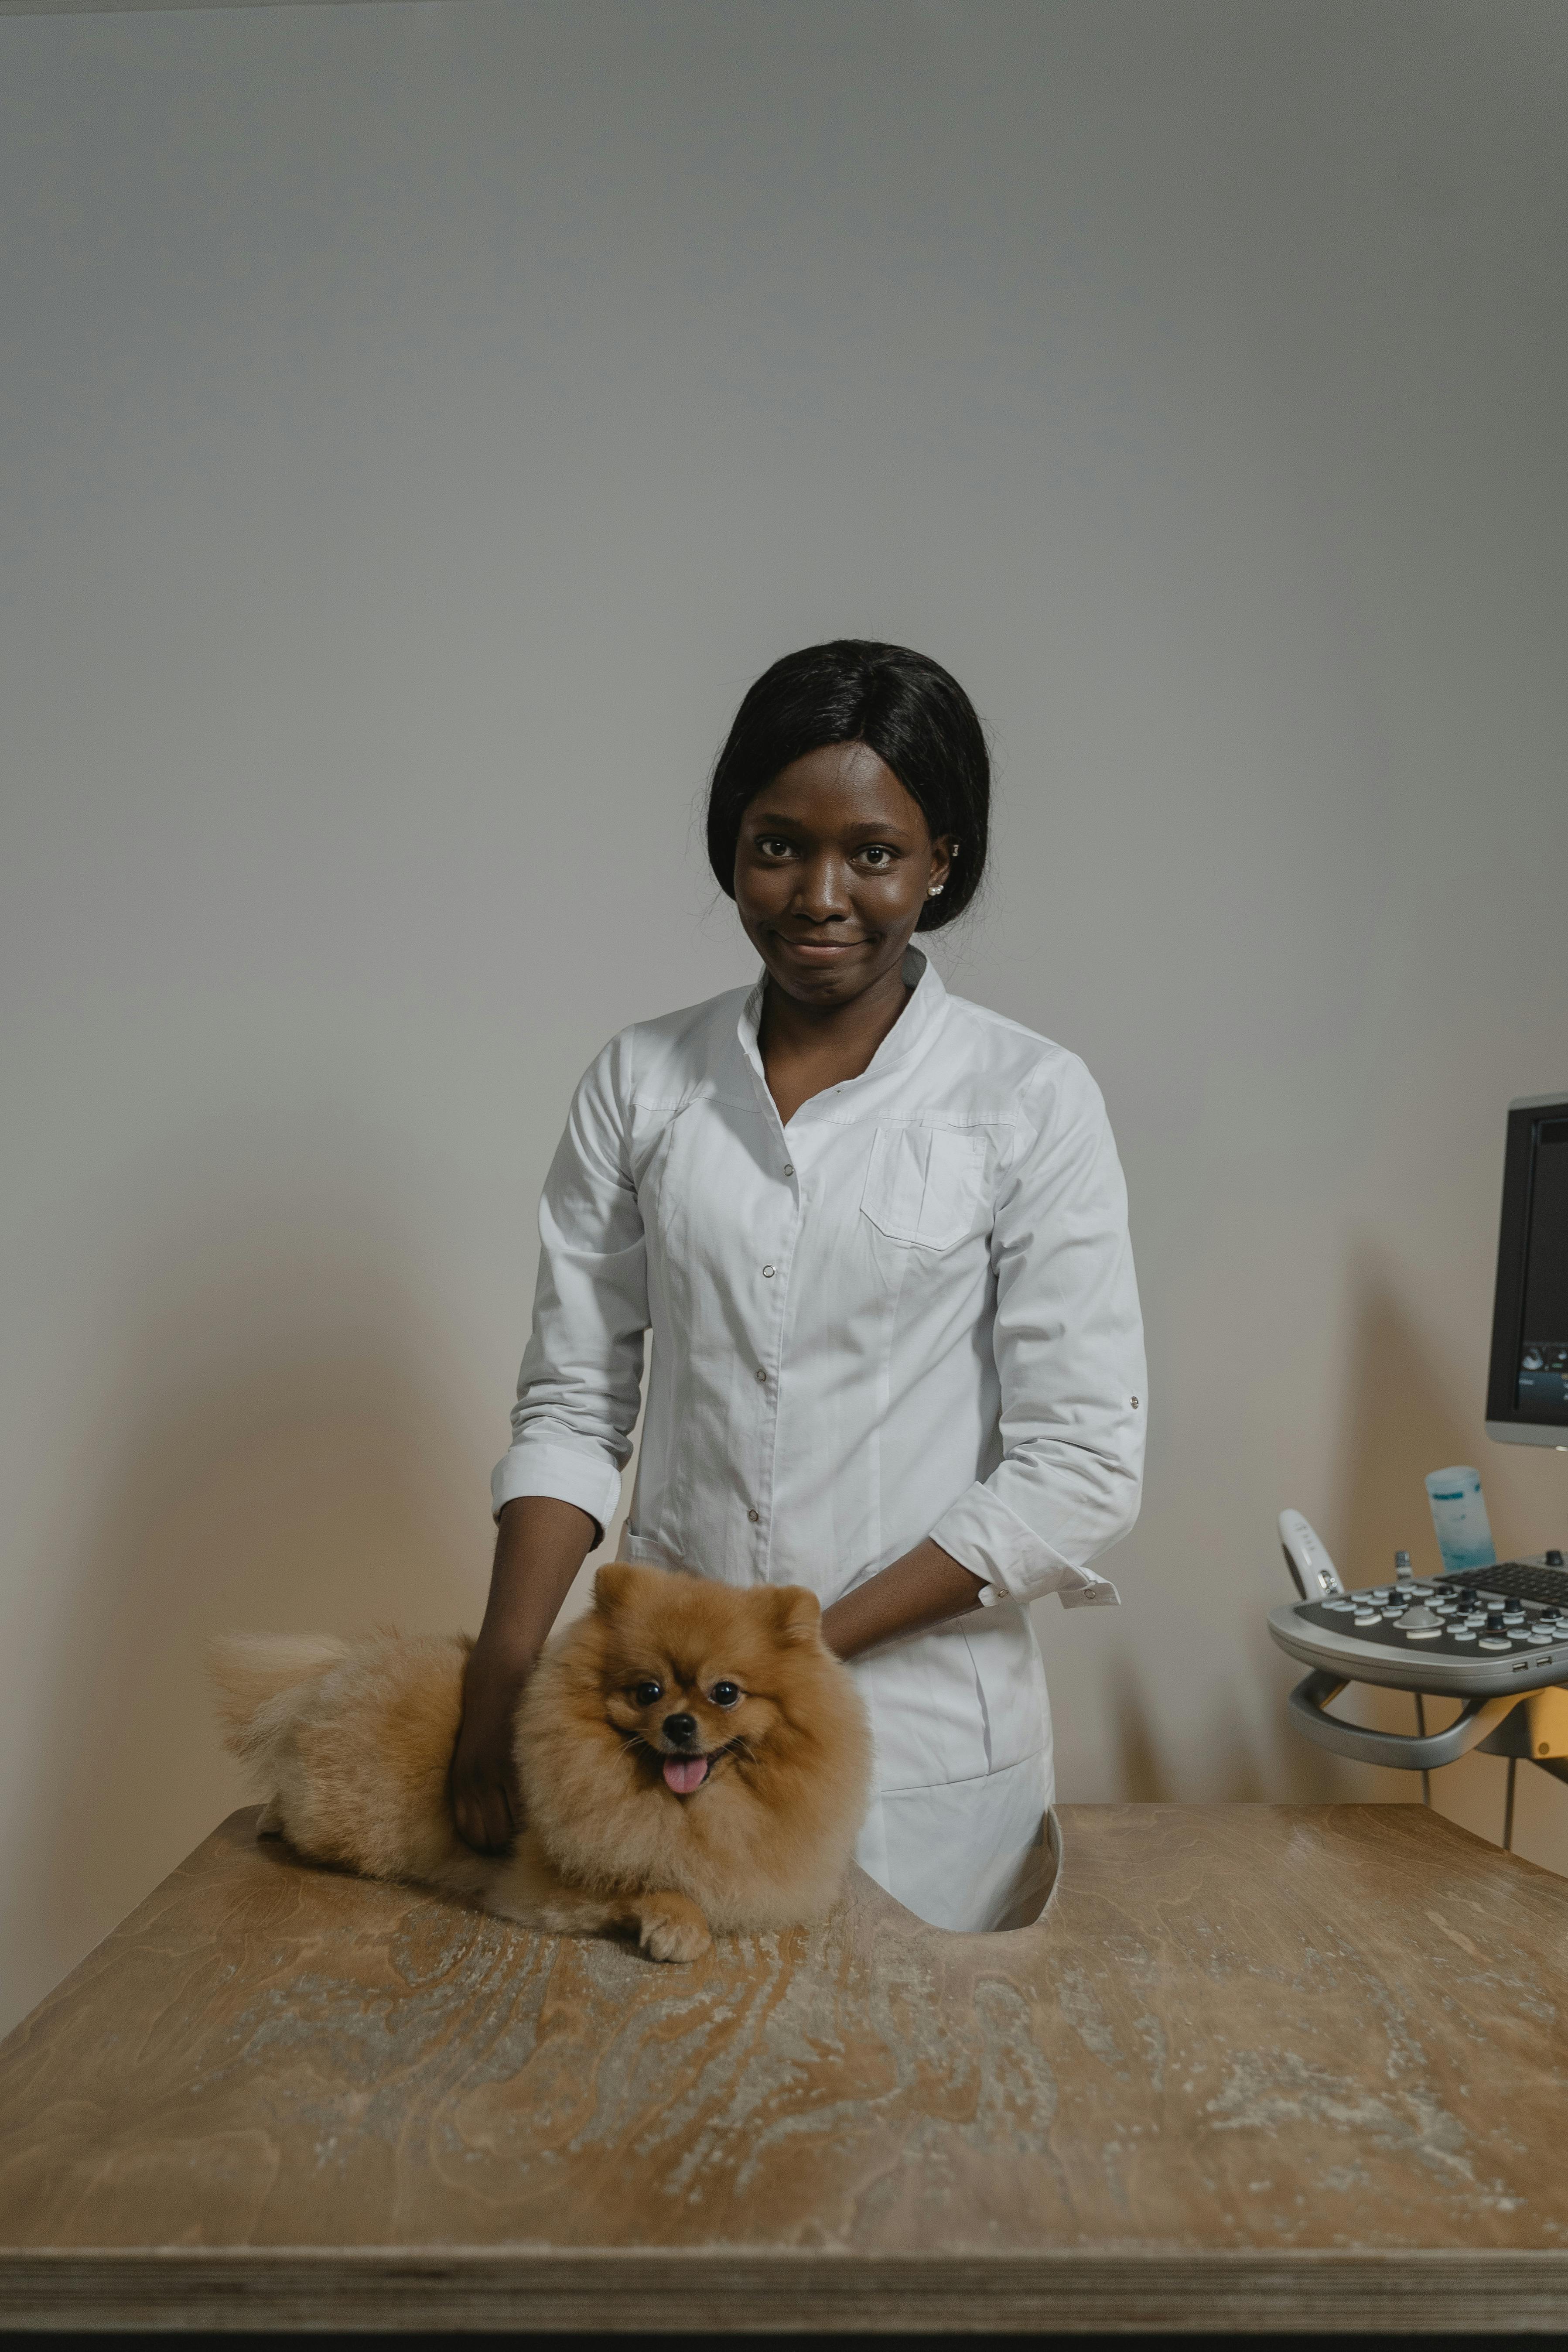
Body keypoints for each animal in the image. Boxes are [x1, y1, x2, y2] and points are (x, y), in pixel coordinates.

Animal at [207, 1562, 870, 1966]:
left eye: (725, 1693)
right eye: (648, 1692)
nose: (680, 1725)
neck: (690, 1810)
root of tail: (349, 1663)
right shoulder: (547, 1883)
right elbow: (653, 1882)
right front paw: (678, 1924)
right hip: (344, 1821)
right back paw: (271, 1817)